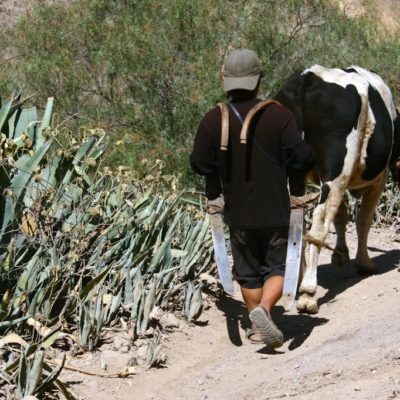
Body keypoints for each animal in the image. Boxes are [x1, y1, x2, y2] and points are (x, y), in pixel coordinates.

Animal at [276, 65, 400, 314]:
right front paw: (364, 263)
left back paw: (298, 281)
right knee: (320, 221)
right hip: (336, 172)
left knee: (296, 221)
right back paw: (308, 293)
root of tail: (309, 77)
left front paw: (341, 256)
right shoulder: (378, 180)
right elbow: (363, 220)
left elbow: (342, 216)